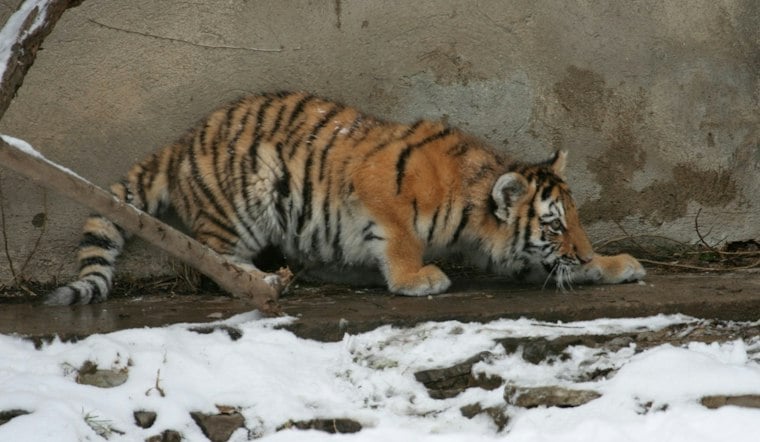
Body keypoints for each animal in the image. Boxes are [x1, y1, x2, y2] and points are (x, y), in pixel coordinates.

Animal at [46, 91, 645, 305]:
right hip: (242, 209)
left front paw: (617, 264)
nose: (583, 250)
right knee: (214, 265)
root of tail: (181, 143)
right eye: (554, 225)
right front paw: (417, 279)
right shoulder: (379, 190)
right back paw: (261, 281)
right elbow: (400, 239)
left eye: (577, 221)